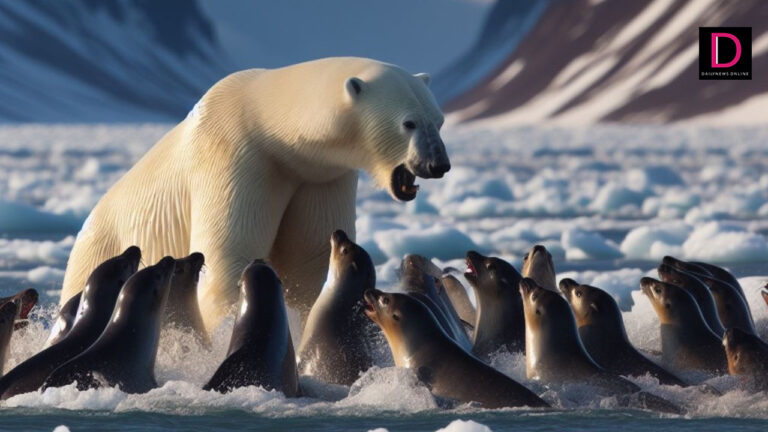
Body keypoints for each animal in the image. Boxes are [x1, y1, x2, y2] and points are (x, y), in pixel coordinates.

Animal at [59, 57, 450, 332]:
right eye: (409, 123)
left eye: (439, 120)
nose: (438, 164)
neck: (270, 124)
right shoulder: (236, 157)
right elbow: (230, 255)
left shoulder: (319, 175)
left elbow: (311, 258)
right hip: (99, 248)